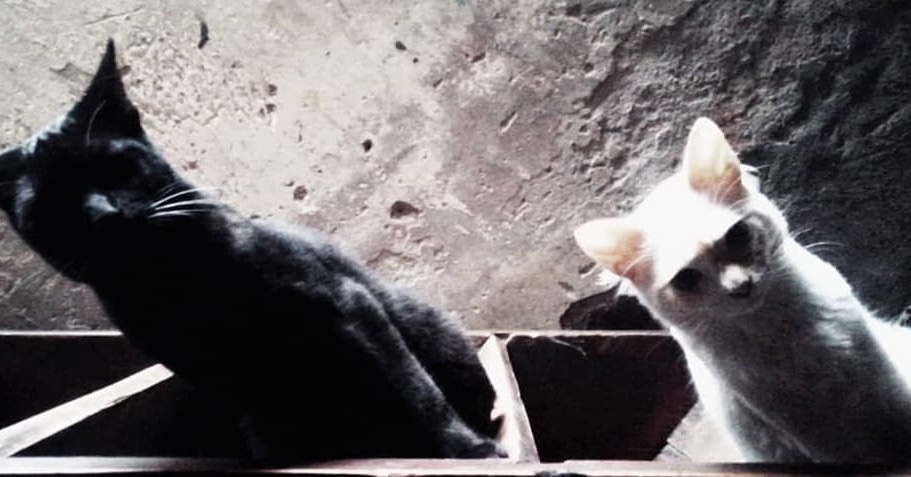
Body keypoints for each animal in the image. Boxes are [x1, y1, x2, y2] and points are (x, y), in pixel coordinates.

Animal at [0, 40, 503, 461]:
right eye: (50, 209)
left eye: (117, 167)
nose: (103, 214)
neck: (180, 276)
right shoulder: (220, 371)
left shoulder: (349, 305)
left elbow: (415, 389)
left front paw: (466, 448)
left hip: (425, 323)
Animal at [574, 117, 911, 463]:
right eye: (686, 279)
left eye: (737, 236)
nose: (740, 286)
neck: (785, 332)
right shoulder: (810, 431)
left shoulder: (880, 381)